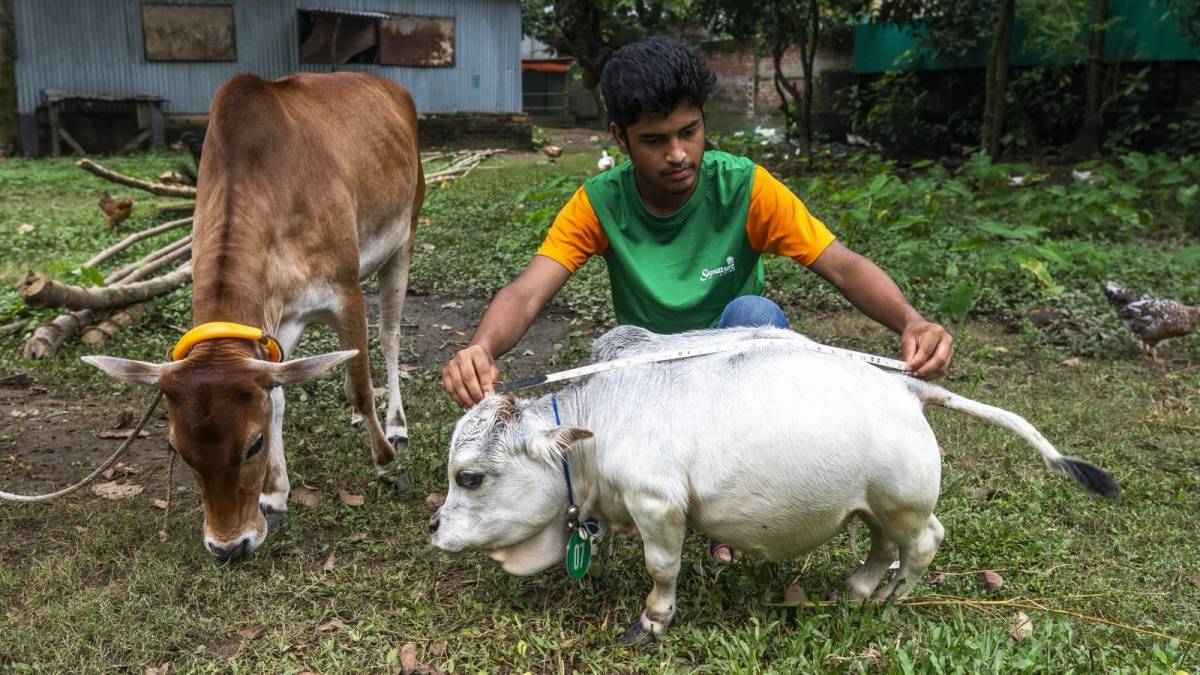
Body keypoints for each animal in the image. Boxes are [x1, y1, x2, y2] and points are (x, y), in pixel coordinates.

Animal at [84, 70, 424, 559]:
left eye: (252, 445)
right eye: (178, 449)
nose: (229, 546)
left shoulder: (345, 291)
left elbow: (359, 384)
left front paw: (386, 464)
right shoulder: (277, 324)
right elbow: (278, 395)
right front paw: (276, 493)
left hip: (405, 235)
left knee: (390, 335)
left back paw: (395, 424)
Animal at [432, 324, 1113, 638]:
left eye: (469, 477)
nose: (435, 527)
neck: (598, 422)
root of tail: (908, 387)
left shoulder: (659, 506)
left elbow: (661, 570)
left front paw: (653, 619)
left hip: (903, 504)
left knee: (922, 546)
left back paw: (888, 601)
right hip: (875, 505)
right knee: (885, 546)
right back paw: (857, 589)